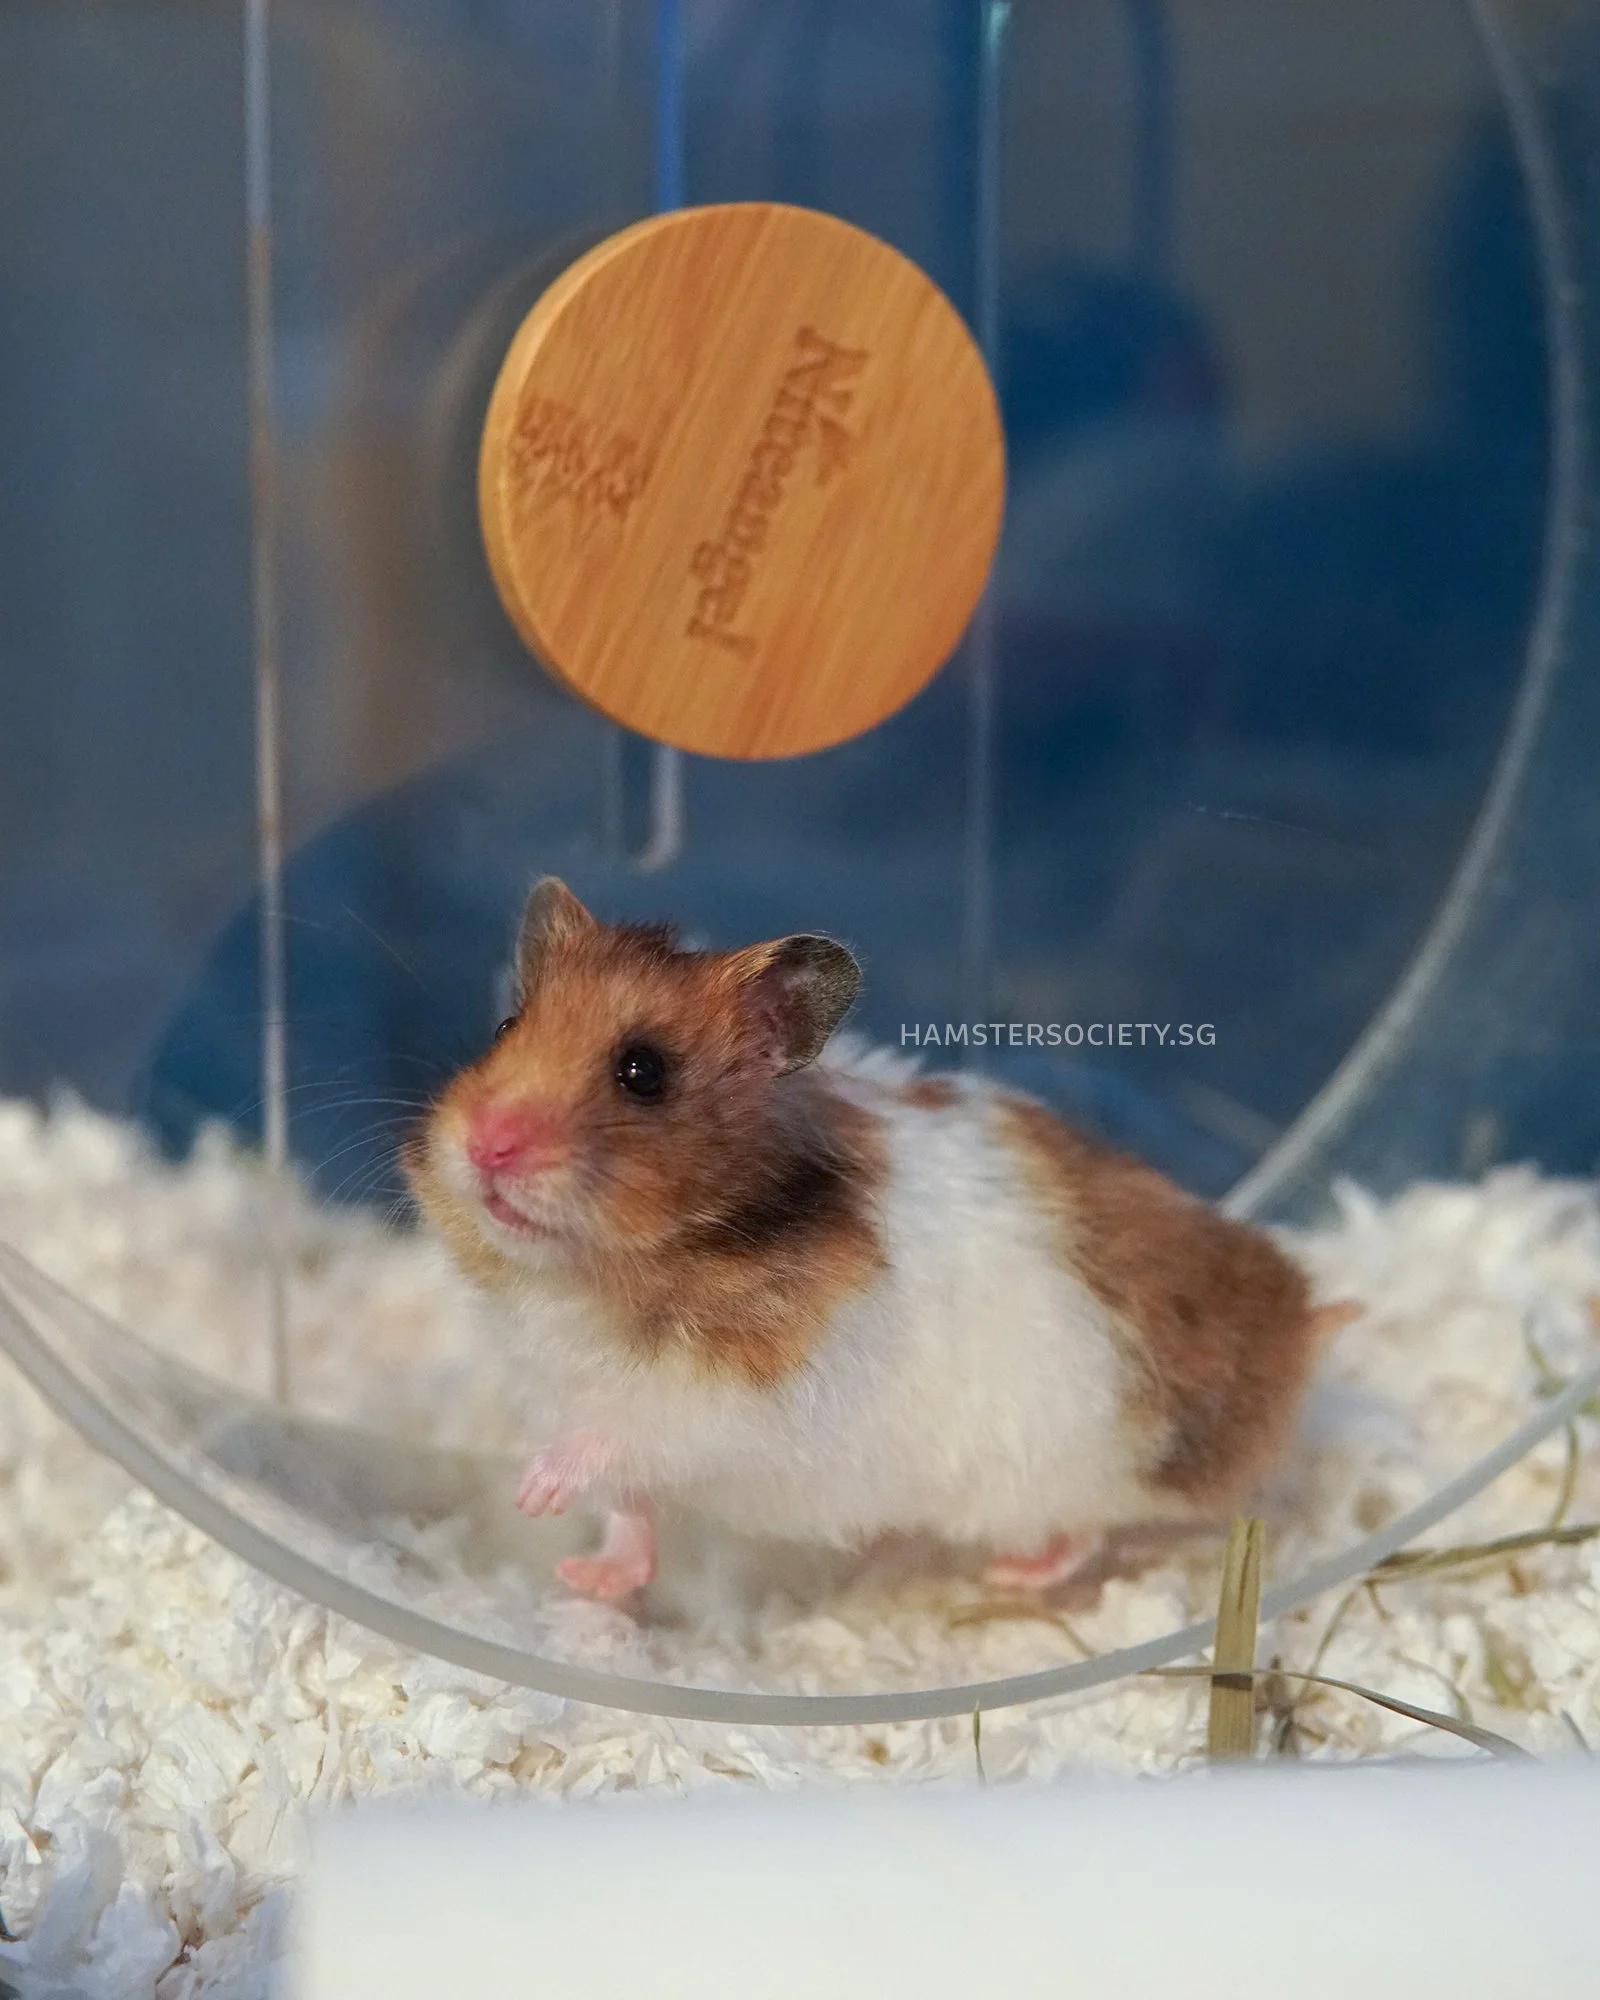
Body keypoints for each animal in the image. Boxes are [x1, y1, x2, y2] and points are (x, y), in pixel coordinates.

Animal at [404, 878, 1353, 1601]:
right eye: (505, 1029)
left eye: (643, 1071)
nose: (486, 1144)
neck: (582, 1278)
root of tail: (1298, 1329)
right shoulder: (566, 1384)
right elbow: (631, 1514)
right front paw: (584, 1574)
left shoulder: (729, 1398)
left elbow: (624, 1438)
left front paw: (535, 1491)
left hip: (1068, 1459)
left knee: (1083, 1532)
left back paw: (1010, 1575)